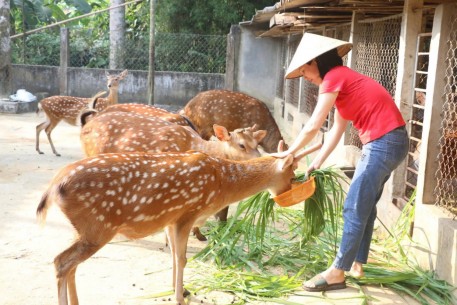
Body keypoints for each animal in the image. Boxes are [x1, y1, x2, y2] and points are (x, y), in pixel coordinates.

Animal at [36, 140, 320, 304]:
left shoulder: (172, 219)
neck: (222, 182)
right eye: (292, 174)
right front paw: (179, 297)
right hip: (98, 226)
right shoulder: (188, 212)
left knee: (70, 264)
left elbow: (174, 256)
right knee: (61, 261)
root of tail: (54, 186)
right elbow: (183, 258)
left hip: (84, 229)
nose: (288, 195)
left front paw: (180, 291)